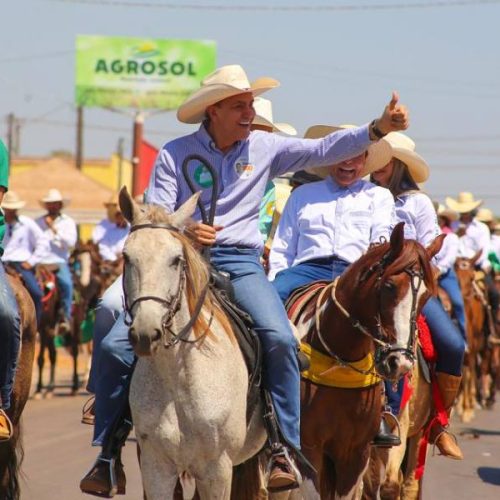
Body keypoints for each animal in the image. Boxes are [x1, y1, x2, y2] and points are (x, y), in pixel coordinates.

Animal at [118, 188, 266, 500]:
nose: (145, 333)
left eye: (176, 259)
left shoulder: (217, 470)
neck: (178, 375)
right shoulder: (156, 466)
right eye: (127, 257)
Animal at [288, 225, 444, 498]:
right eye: (389, 285)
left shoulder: (355, 454)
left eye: (426, 297)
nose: (399, 362)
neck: (340, 359)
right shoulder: (308, 449)